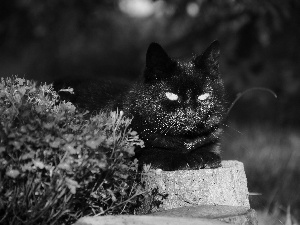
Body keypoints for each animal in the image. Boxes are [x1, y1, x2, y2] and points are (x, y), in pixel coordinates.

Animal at [59, 40, 227, 171]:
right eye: (171, 95)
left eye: (203, 96)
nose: (190, 112)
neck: (185, 141)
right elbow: (157, 153)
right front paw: (189, 159)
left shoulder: (213, 142)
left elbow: (212, 153)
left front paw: (204, 156)